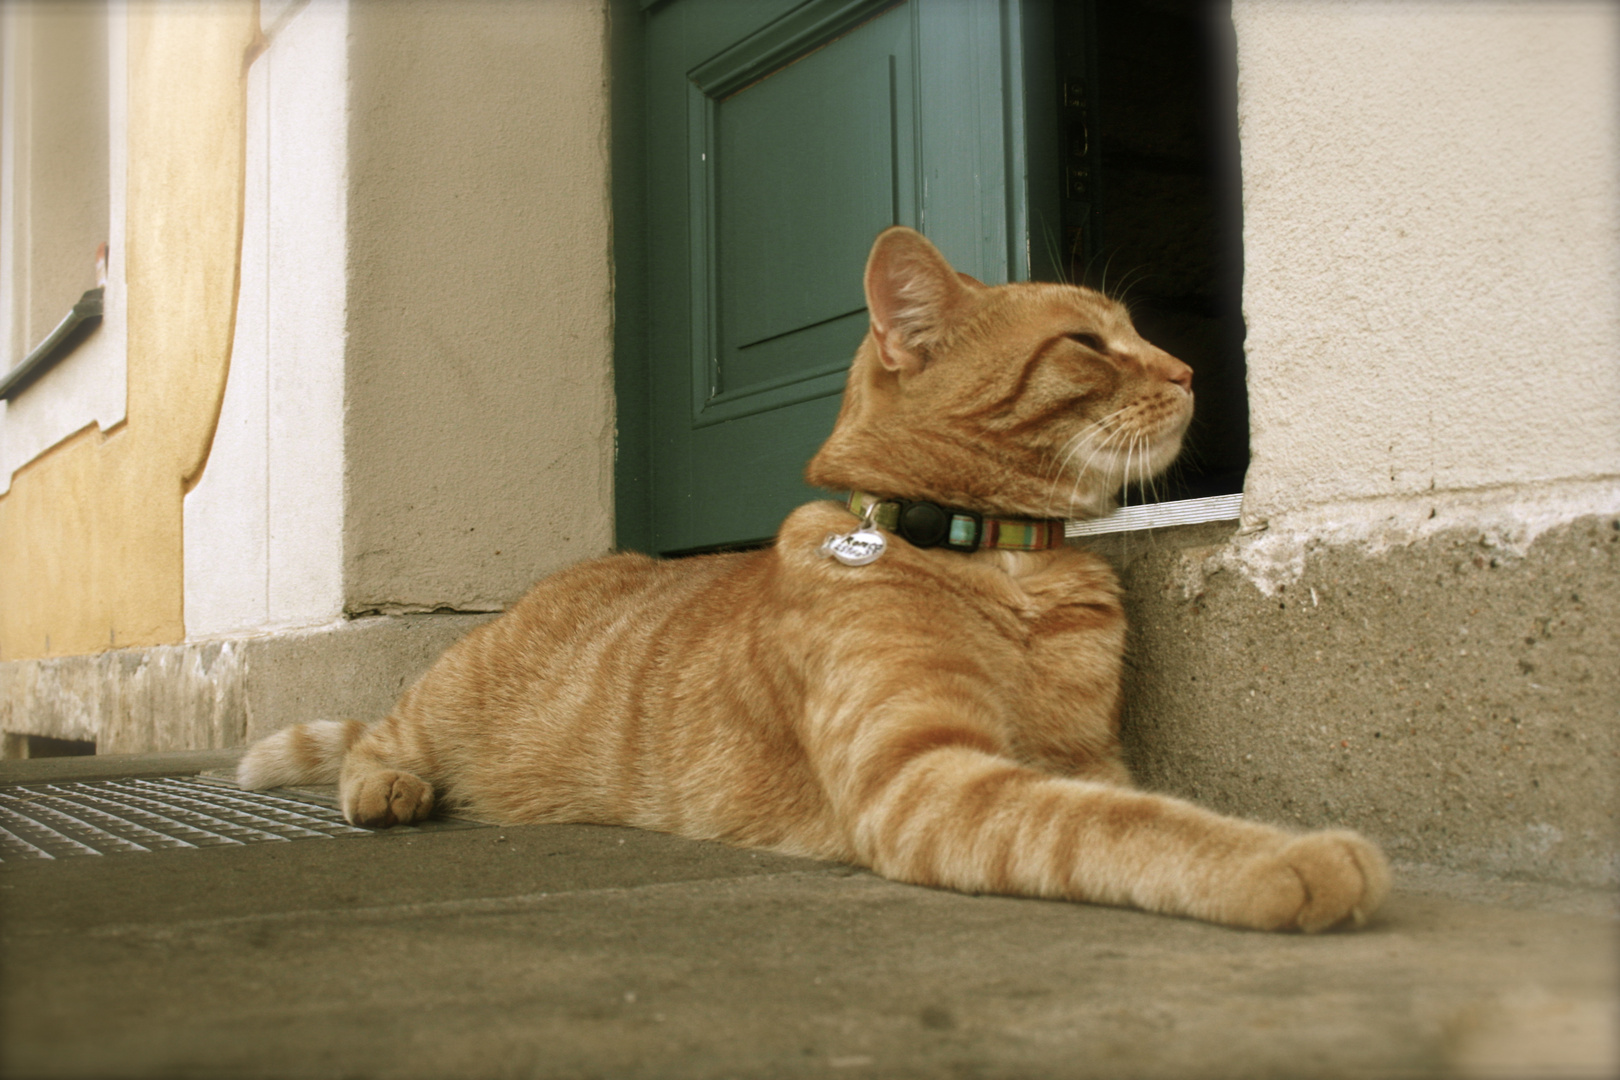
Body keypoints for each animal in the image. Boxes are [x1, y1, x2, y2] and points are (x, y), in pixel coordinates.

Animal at [239, 226, 1393, 932]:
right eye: (1088, 343)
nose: (1193, 369)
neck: (1002, 562)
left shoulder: (1086, 758)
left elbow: (1136, 808)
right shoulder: (927, 774)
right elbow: (1128, 828)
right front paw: (1292, 860)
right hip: (448, 707)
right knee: (379, 735)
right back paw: (388, 788)